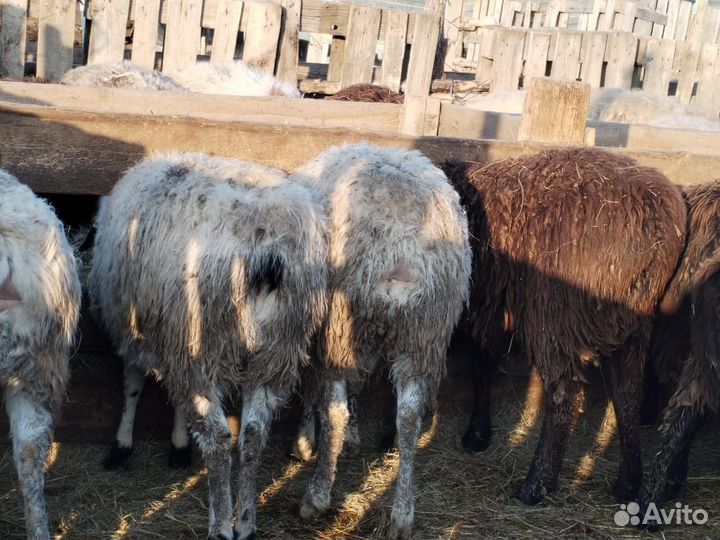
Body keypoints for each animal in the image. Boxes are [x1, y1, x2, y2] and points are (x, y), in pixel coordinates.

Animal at [89, 153, 327, 540]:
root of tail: (267, 254)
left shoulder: (139, 333)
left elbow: (133, 387)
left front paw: (122, 447)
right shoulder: (173, 339)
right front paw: (178, 446)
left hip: (204, 341)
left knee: (218, 438)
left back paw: (220, 524)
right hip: (276, 349)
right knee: (252, 435)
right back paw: (244, 521)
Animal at [290, 143, 472, 540]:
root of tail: (399, 239)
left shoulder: (323, 329)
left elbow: (318, 391)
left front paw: (305, 440)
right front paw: (351, 438)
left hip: (342, 323)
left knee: (335, 411)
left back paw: (316, 496)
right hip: (421, 332)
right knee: (408, 417)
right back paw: (403, 514)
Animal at [444, 148, 687, 504]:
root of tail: (658, 228)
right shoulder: (493, 306)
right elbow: (483, 364)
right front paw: (478, 434)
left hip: (554, 315)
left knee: (566, 394)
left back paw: (535, 486)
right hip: (629, 322)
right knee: (627, 392)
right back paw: (627, 482)